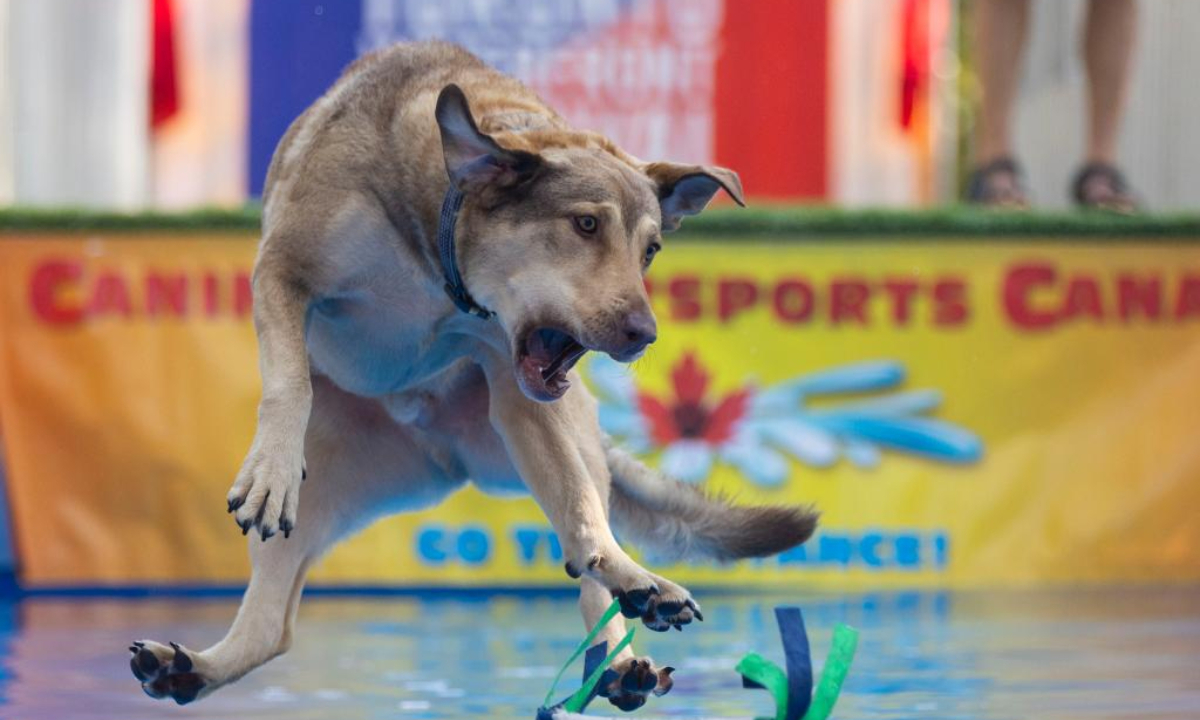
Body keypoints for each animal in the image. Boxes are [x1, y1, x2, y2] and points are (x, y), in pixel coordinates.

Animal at [131, 42, 820, 710]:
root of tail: (442, 448)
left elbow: (580, 512)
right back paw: (191, 668)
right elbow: (289, 383)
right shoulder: (283, 270)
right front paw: (271, 469)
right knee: (271, 624)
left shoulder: (517, 380)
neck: (439, 257)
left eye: (650, 250)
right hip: (329, 477)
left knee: (587, 536)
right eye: (585, 224)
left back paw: (626, 633)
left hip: (535, 435)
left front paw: (632, 586)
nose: (642, 334)